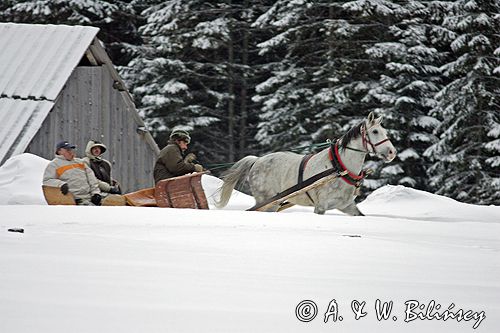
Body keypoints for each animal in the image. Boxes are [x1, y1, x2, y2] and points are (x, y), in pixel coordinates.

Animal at [217, 113, 396, 214]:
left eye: (384, 131)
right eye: (375, 131)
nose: (392, 152)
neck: (339, 167)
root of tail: (257, 160)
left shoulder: (347, 205)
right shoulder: (321, 206)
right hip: (267, 201)